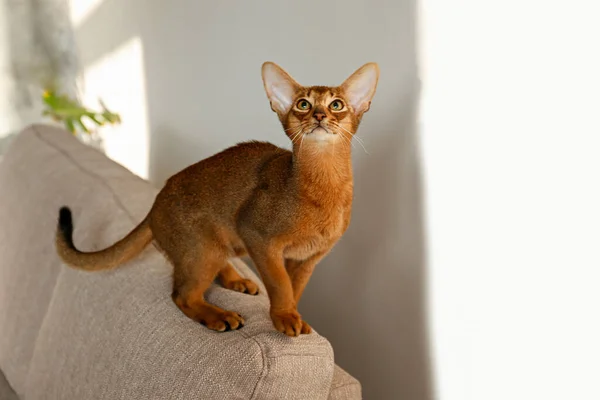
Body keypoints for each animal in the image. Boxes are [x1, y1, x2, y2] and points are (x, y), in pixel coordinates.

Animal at [54, 61, 378, 338]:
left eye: (336, 104)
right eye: (303, 104)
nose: (320, 116)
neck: (323, 185)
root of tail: (155, 202)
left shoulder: (308, 259)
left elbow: (294, 288)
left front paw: (293, 315)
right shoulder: (258, 236)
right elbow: (280, 284)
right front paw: (285, 317)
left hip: (218, 245)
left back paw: (235, 279)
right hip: (201, 249)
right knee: (182, 295)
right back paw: (218, 315)